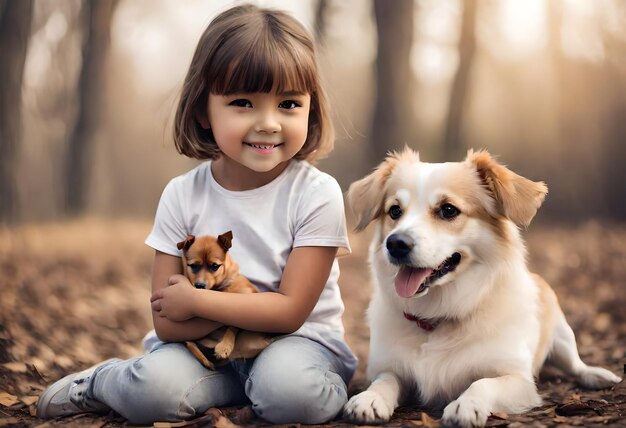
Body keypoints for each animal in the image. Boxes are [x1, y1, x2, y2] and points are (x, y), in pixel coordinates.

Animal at [177, 231, 272, 368]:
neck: (218, 289)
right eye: (193, 266)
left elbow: (232, 326)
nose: (199, 286)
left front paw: (224, 346)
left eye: (215, 266)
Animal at [344, 149, 616, 426]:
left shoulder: (518, 379)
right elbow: (385, 380)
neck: (438, 316)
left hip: (562, 337)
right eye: (395, 211)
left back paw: (598, 376)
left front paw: (466, 404)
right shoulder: (392, 368)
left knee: (575, 364)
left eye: (448, 210)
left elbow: (483, 383)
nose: (395, 244)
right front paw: (370, 398)